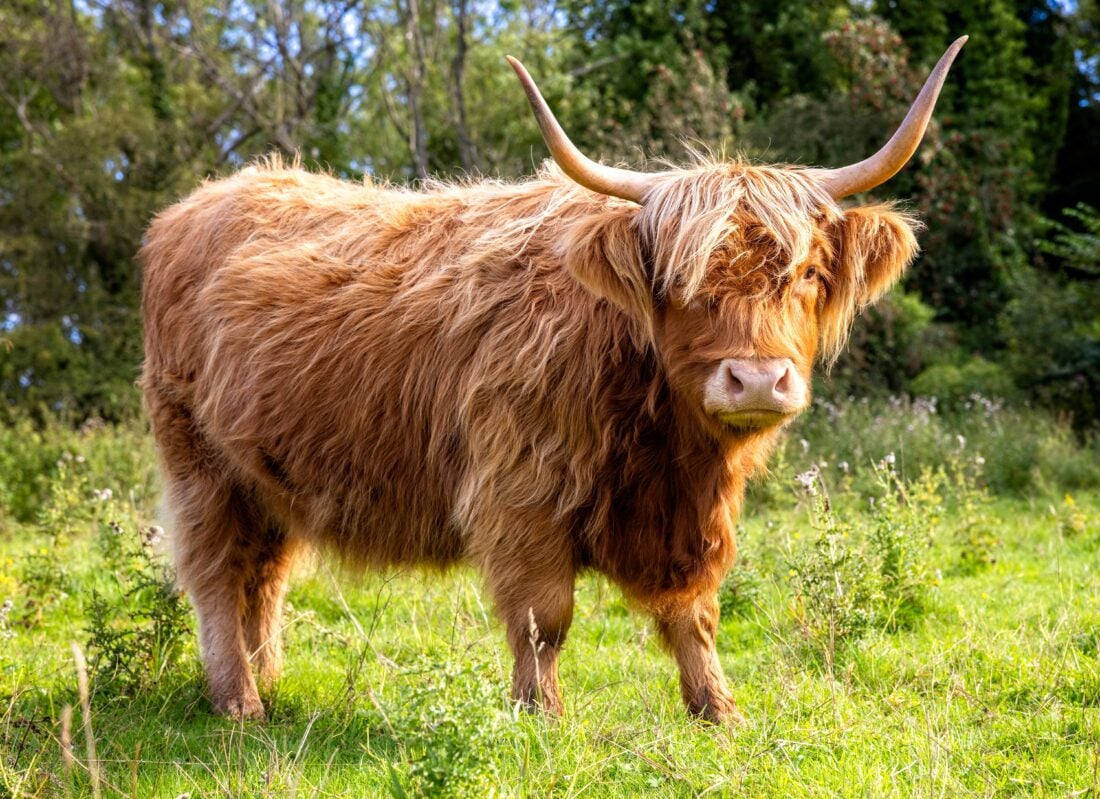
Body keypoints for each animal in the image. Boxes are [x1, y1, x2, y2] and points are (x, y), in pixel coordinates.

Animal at [140, 38, 966, 723]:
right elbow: (545, 615)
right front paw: (541, 714)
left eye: (807, 274)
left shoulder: (687, 511)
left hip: (268, 475)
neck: (660, 435)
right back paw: (240, 701)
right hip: (198, 460)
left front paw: (718, 709)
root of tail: (196, 202)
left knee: (264, 575)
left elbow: (694, 609)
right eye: (676, 281)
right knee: (216, 571)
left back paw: (268, 680)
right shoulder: (521, 489)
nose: (758, 380)